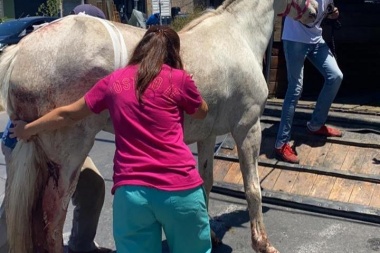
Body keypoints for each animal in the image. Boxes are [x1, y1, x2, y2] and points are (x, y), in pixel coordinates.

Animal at [0, 0, 318, 252]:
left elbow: (206, 181)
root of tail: (21, 50)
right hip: (68, 157)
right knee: (52, 218)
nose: (317, 12)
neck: (238, 33)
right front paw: (262, 243)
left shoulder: (208, 136)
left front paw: (210, 234)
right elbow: (252, 188)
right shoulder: (247, 128)